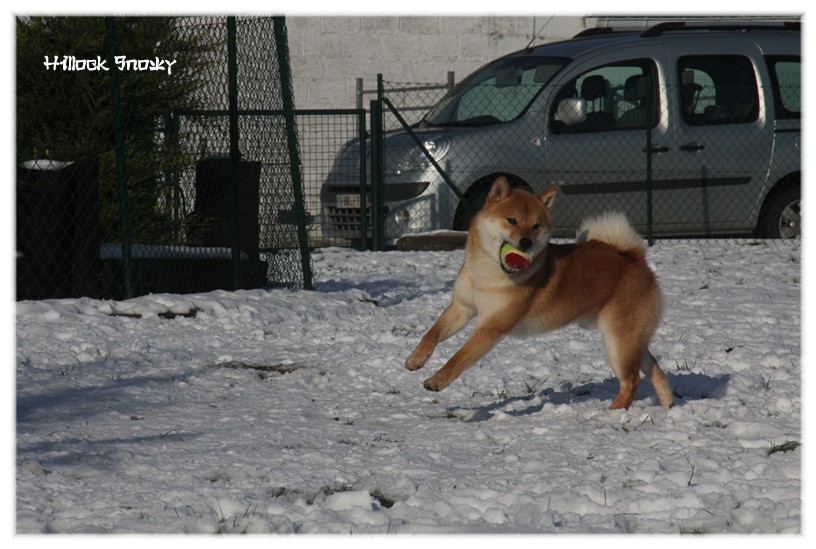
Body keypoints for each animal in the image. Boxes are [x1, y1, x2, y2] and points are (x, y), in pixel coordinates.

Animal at [404, 178, 672, 408]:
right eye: (511, 220)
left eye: (536, 226)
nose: (526, 242)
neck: (487, 274)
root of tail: (634, 257)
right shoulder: (462, 308)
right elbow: (432, 333)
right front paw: (415, 359)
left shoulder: (492, 326)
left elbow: (458, 358)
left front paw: (437, 380)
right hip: (631, 338)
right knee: (655, 370)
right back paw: (668, 405)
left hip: (618, 338)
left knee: (631, 380)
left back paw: (611, 413)